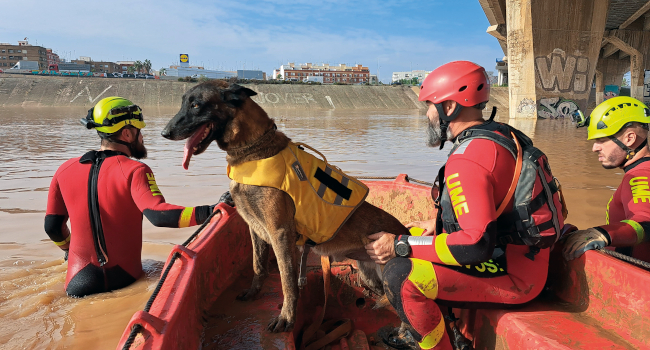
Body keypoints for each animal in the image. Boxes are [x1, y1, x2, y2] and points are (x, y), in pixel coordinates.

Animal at [161, 80, 404, 334]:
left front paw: (286, 318)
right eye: (183, 103)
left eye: (196, 105)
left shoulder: (280, 234)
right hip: (369, 275)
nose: (164, 133)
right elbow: (258, 265)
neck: (252, 150)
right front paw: (254, 292)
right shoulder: (255, 228)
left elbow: (287, 281)